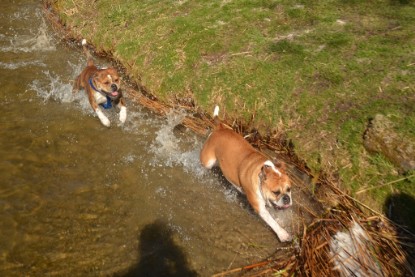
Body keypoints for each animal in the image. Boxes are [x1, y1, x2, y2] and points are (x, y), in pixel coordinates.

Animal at [201, 105, 292, 242]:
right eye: (276, 192)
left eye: (289, 189)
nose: (287, 198)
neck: (263, 171)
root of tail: (221, 127)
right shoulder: (259, 207)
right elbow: (271, 221)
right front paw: (282, 234)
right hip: (207, 160)